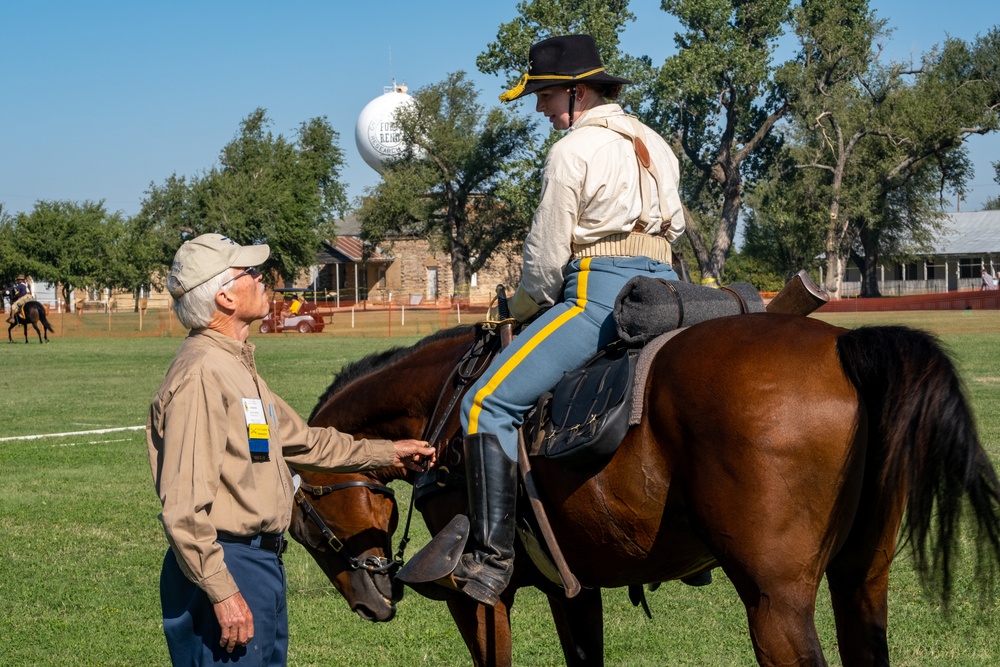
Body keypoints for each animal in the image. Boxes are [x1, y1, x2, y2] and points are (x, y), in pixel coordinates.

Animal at [290, 316, 1000, 664]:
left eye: (305, 525)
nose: (370, 604)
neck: (444, 407)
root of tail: (845, 344)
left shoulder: (478, 602)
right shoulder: (571, 590)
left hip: (775, 601)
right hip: (861, 580)